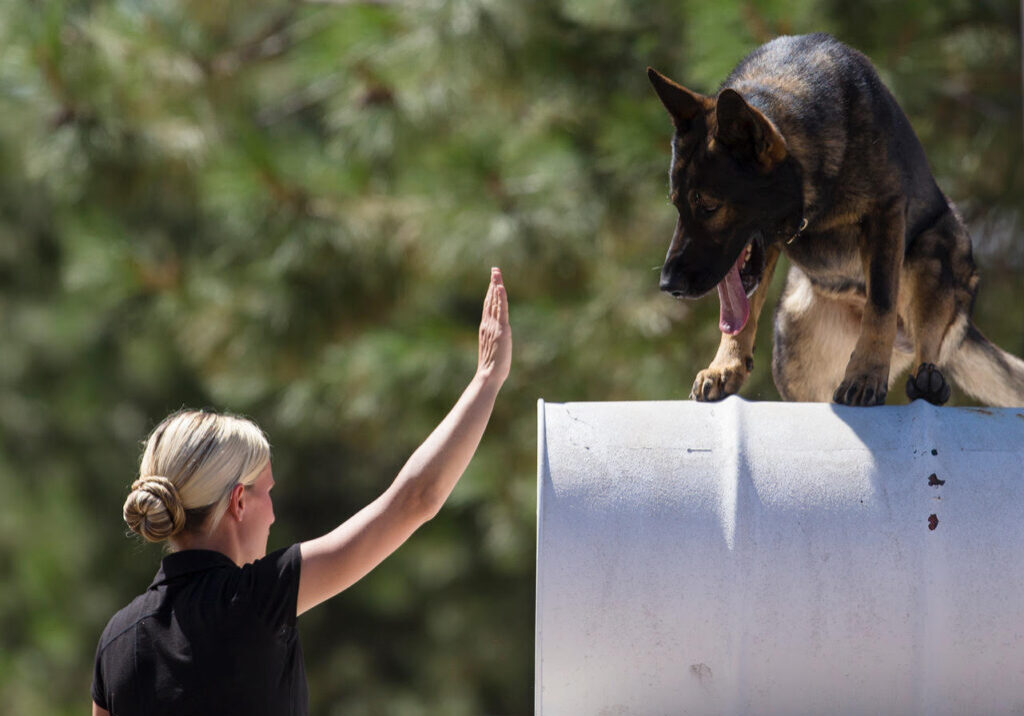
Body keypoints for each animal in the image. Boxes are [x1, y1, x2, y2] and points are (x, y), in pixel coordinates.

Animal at [647, 33, 1024, 409]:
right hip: (793, 335)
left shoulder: (886, 213)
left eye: (709, 205)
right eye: (677, 204)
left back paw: (928, 383)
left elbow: (880, 304)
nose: (668, 285)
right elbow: (744, 311)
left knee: (926, 344)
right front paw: (725, 366)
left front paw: (866, 375)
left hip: (938, 247)